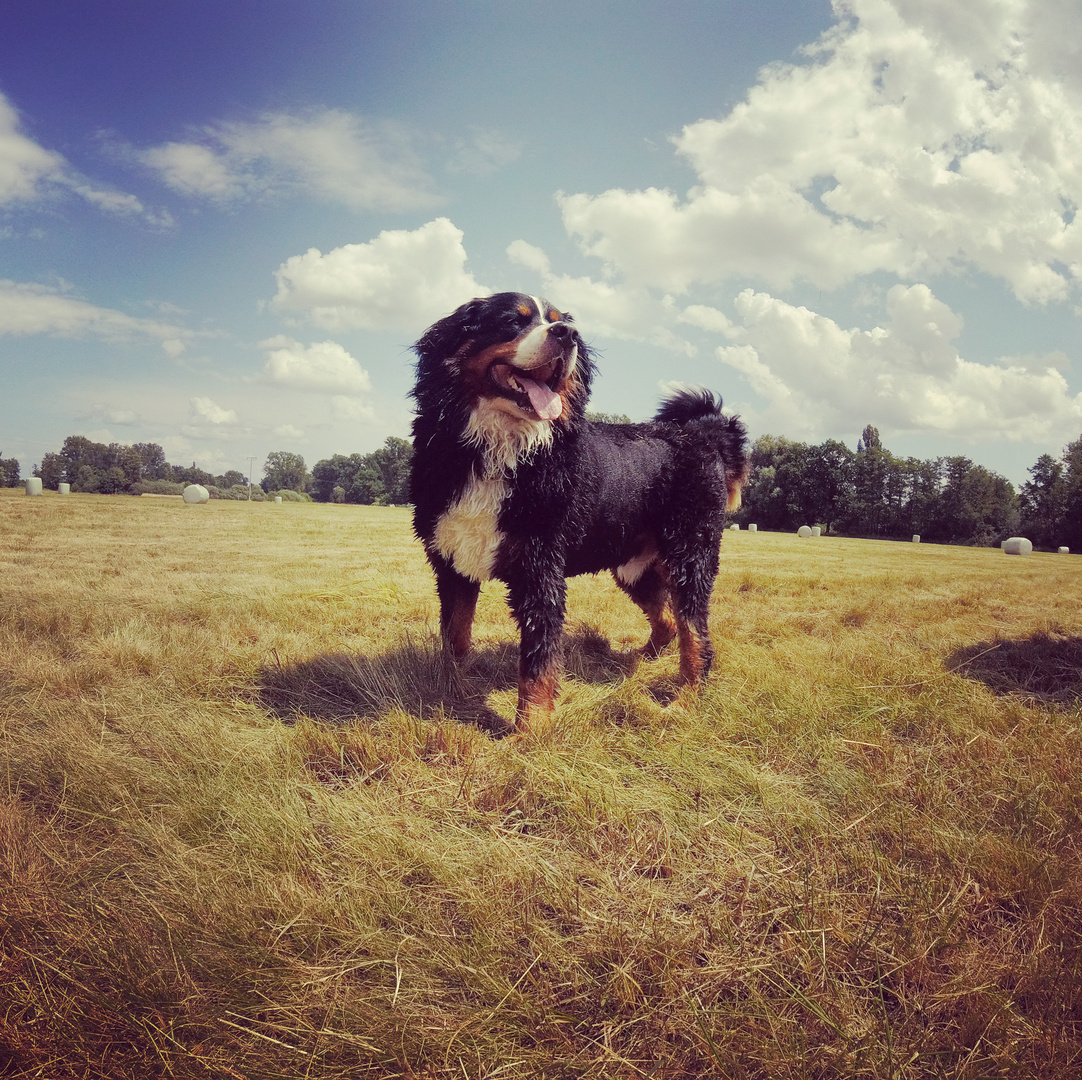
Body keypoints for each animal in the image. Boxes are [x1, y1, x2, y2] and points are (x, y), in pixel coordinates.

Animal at [408, 292, 748, 740]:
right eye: (512, 321)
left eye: (557, 320)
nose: (567, 333)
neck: (498, 451)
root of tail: (704, 435)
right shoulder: (452, 561)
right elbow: (456, 637)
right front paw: (451, 690)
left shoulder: (540, 571)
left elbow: (537, 662)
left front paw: (531, 732)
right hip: (634, 569)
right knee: (669, 623)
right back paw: (637, 660)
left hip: (691, 558)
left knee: (696, 640)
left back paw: (683, 702)